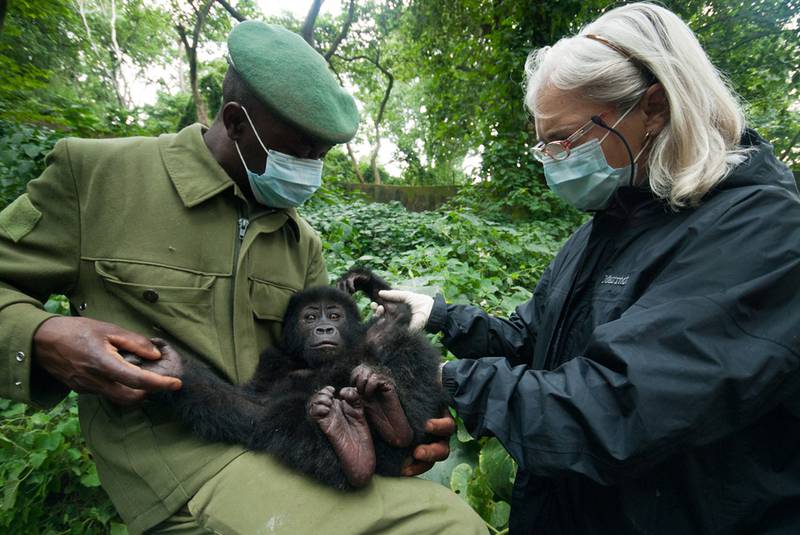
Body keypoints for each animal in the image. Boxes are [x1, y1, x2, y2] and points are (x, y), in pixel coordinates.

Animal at [128, 268, 446, 490]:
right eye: (310, 317)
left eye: (334, 315)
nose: (324, 328)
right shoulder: (271, 364)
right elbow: (253, 410)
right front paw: (172, 366)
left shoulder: (371, 335)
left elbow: (394, 321)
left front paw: (362, 279)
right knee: (286, 417)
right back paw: (352, 446)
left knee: (406, 344)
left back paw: (390, 417)